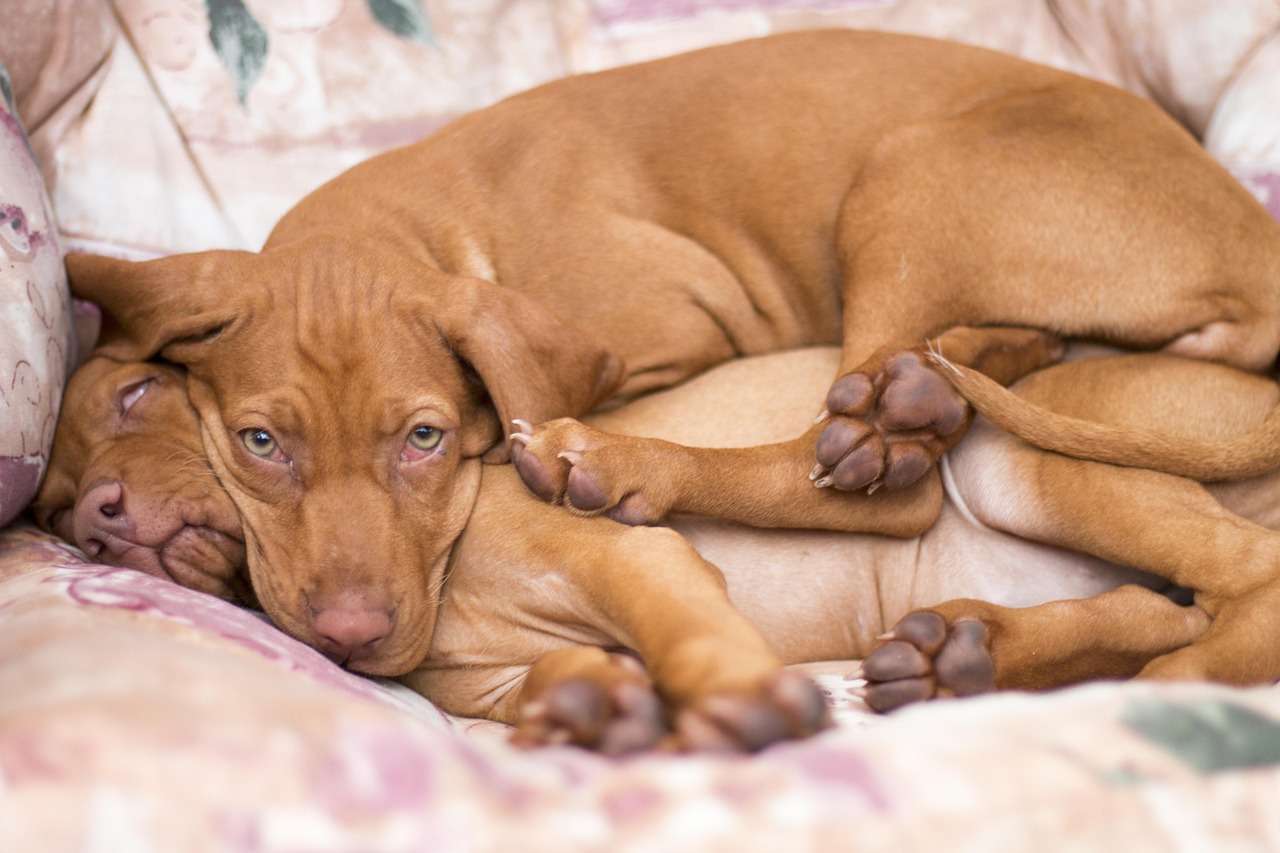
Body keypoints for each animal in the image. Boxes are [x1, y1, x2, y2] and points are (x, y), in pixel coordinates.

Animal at [35, 343, 1280, 747]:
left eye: (142, 392)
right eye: (43, 504)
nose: (95, 514)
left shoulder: (632, 561)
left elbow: (680, 625)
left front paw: (733, 704)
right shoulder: (488, 684)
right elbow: (558, 673)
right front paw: (589, 709)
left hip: (1012, 458)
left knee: (1238, 586)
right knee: (1157, 603)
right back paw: (959, 655)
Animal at [60, 33, 1280, 696]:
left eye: (423, 439)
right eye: (259, 443)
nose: (101, 519)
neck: (434, 226)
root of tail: (1257, 254)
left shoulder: (670, 338)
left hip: (907, 176)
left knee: (865, 479)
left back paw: (634, 459)